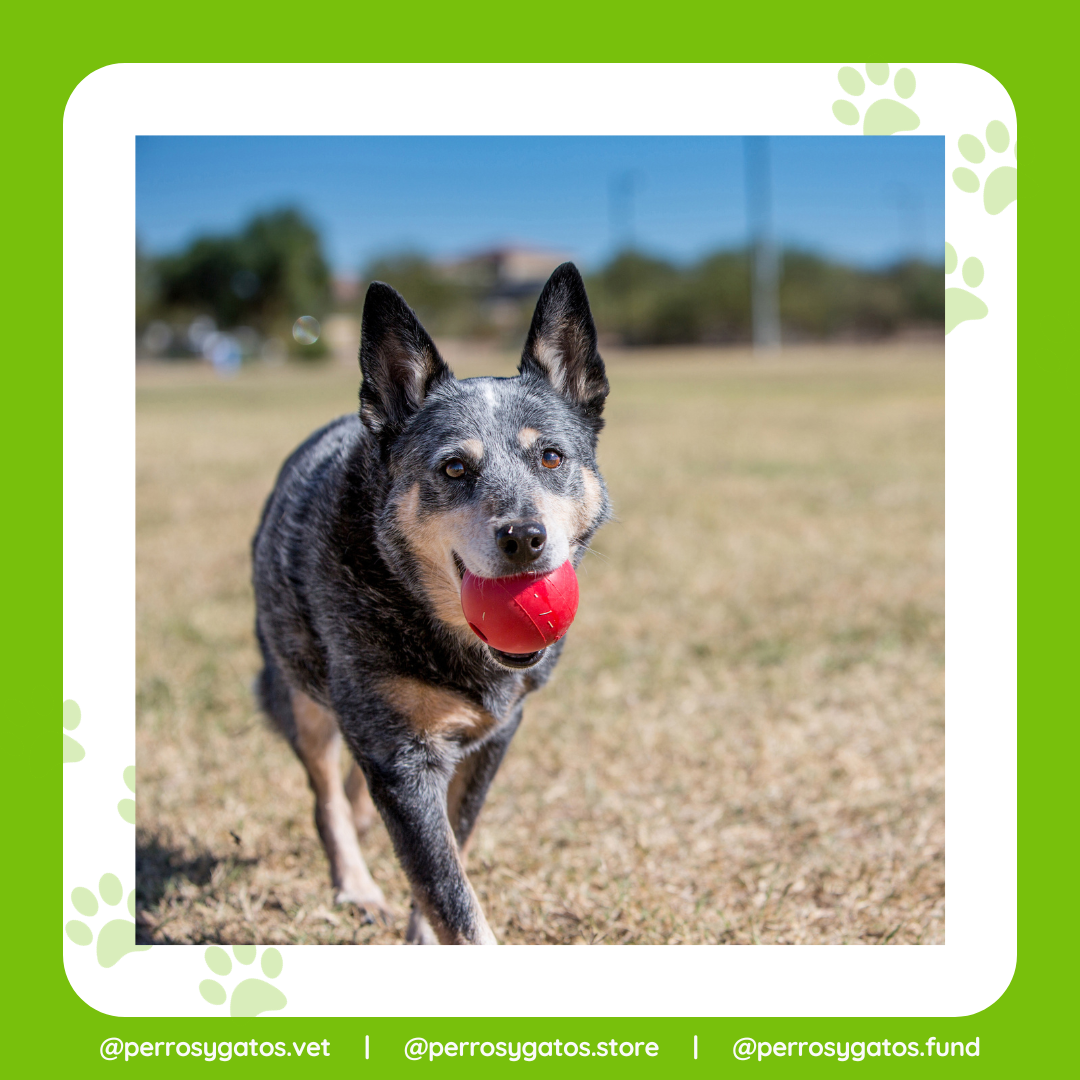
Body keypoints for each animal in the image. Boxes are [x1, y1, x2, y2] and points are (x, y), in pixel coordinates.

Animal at [248, 263, 613, 946]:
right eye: (453, 468)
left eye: (551, 456)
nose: (524, 537)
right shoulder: (400, 760)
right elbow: (450, 892)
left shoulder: (495, 735)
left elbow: (454, 847)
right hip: (297, 688)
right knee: (325, 795)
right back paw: (356, 886)